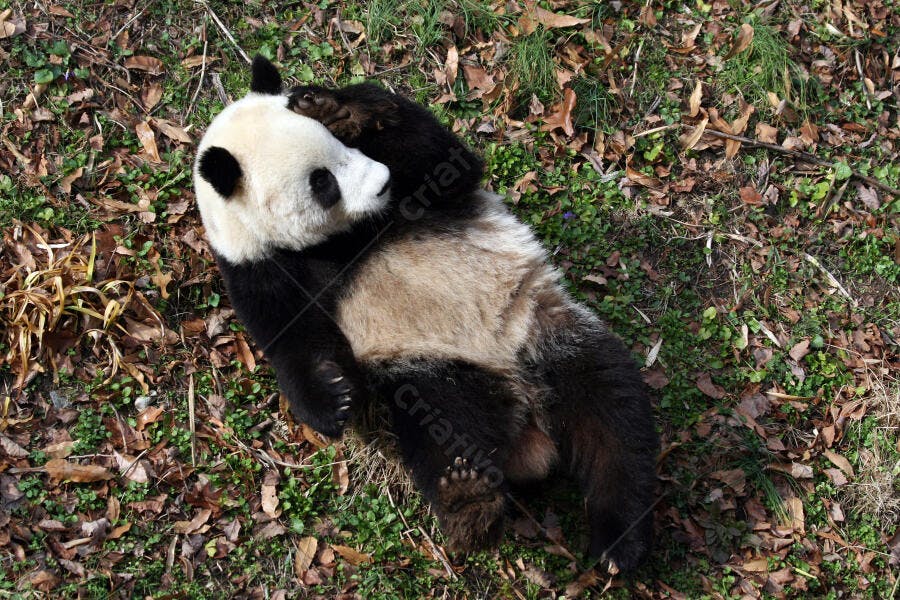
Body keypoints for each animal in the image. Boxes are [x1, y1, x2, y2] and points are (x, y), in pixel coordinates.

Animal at [194, 55, 658, 572]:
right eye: (322, 183)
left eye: (339, 147)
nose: (380, 183)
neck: (340, 239)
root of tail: (526, 403)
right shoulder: (257, 267)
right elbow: (293, 340)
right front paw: (334, 398)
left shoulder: (417, 193)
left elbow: (443, 158)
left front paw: (333, 106)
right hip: (434, 367)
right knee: (445, 427)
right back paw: (469, 502)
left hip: (542, 330)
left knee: (613, 415)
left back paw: (618, 539)